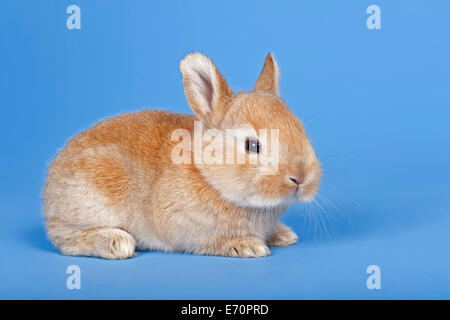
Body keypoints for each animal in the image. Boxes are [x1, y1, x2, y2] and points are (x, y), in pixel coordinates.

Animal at [43, 52, 320, 258]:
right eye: (252, 146)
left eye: (300, 129)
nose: (301, 178)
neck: (209, 175)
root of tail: (49, 192)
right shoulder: (185, 227)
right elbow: (209, 241)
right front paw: (247, 246)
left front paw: (283, 235)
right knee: (65, 240)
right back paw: (116, 243)